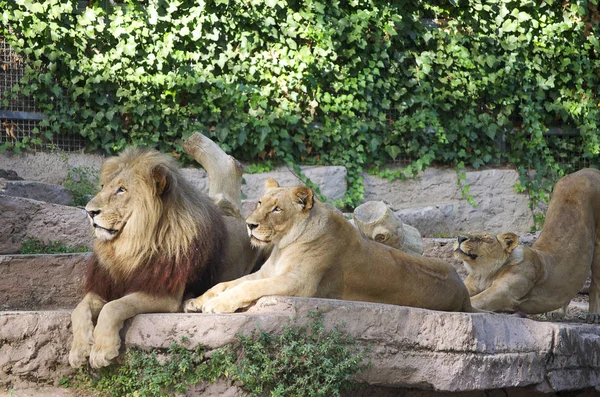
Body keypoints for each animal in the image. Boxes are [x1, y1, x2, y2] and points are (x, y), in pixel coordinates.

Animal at [69, 147, 258, 366]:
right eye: (102, 186)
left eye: (121, 190)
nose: (89, 211)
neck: (130, 246)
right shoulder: (104, 286)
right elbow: (79, 309)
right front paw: (78, 350)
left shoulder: (163, 292)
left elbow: (113, 307)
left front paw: (102, 351)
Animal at [185, 179, 476, 312]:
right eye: (259, 203)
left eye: (277, 209)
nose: (250, 224)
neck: (283, 244)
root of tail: (463, 292)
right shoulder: (266, 272)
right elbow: (227, 283)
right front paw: (196, 301)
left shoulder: (300, 283)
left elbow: (247, 288)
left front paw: (217, 305)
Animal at [454, 167, 600, 322]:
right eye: (468, 233)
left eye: (485, 238)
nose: (460, 237)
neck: (483, 273)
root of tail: (588, 170)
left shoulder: (503, 292)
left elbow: (476, 300)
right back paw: (558, 313)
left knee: (595, 285)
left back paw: (593, 315)